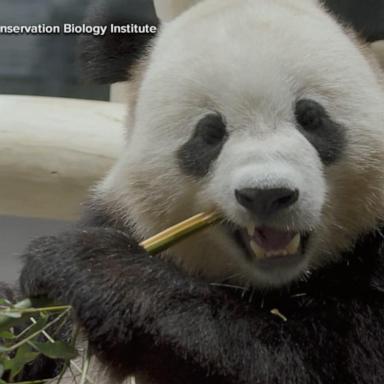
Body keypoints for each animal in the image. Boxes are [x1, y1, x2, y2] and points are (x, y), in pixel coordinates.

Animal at [16, 0, 384, 382]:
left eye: (311, 118)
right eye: (210, 134)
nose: (266, 194)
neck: (275, 283)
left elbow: (293, 361)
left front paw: (88, 265)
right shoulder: (118, 214)